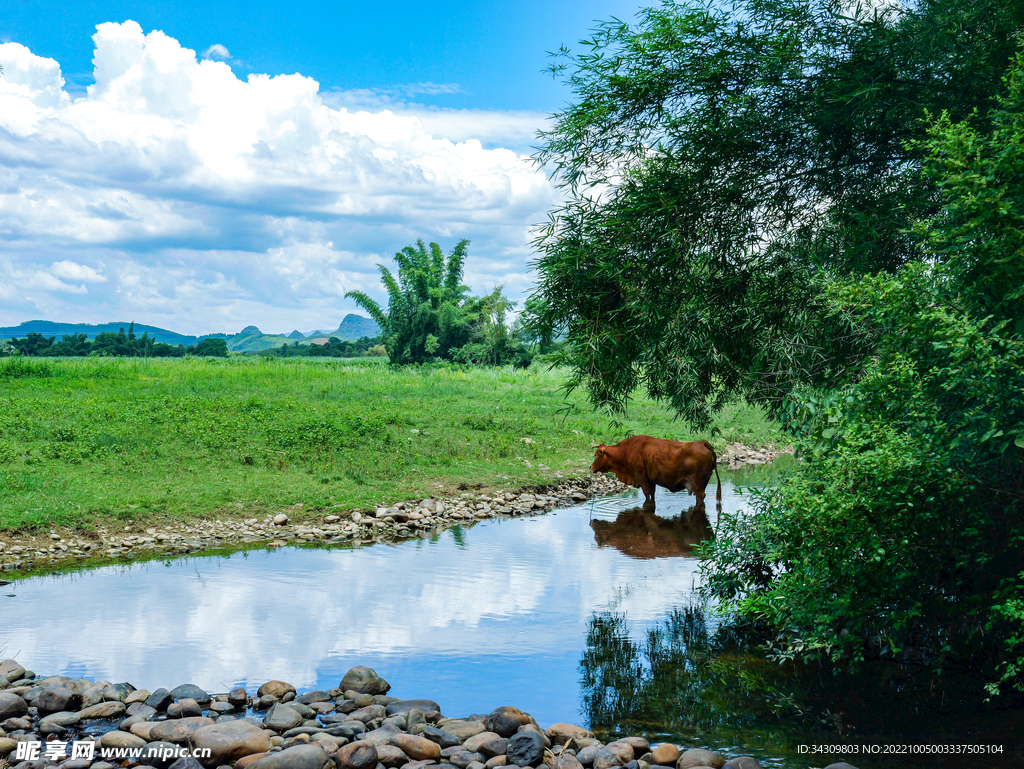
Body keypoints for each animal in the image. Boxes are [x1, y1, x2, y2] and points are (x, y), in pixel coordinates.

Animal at [589, 438, 724, 511]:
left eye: (596, 454)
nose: (591, 467)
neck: (627, 450)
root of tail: (701, 442)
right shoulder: (651, 480)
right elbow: (652, 495)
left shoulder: (641, 476)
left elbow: (647, 495)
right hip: (704, 481)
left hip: (697, 482)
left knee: (700, 497)